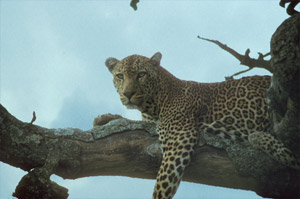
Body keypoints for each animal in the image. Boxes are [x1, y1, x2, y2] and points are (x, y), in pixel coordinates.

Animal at [104, 51, 298, 199]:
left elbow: (163, 184)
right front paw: (105, 118)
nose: (128, 94)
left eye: (141, 75)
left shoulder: (179, 138)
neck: (151, 104)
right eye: (120, 76)